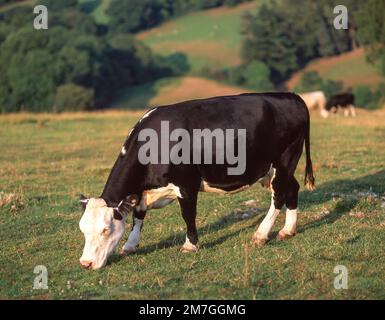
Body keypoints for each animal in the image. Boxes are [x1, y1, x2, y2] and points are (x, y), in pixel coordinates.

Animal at [79, 92, 316, 270]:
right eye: (82, 229)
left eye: (105, 230)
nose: (85, 263)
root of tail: (292, 96)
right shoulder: (143, 192)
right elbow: (139, 216)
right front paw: (130, 244)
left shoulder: (186, 185)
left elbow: (188, 215)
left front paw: (190, 245)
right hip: (276, 169)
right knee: (292, 189)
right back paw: (288, 230)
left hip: (285, 159)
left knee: (279, 195)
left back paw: (261, 234)